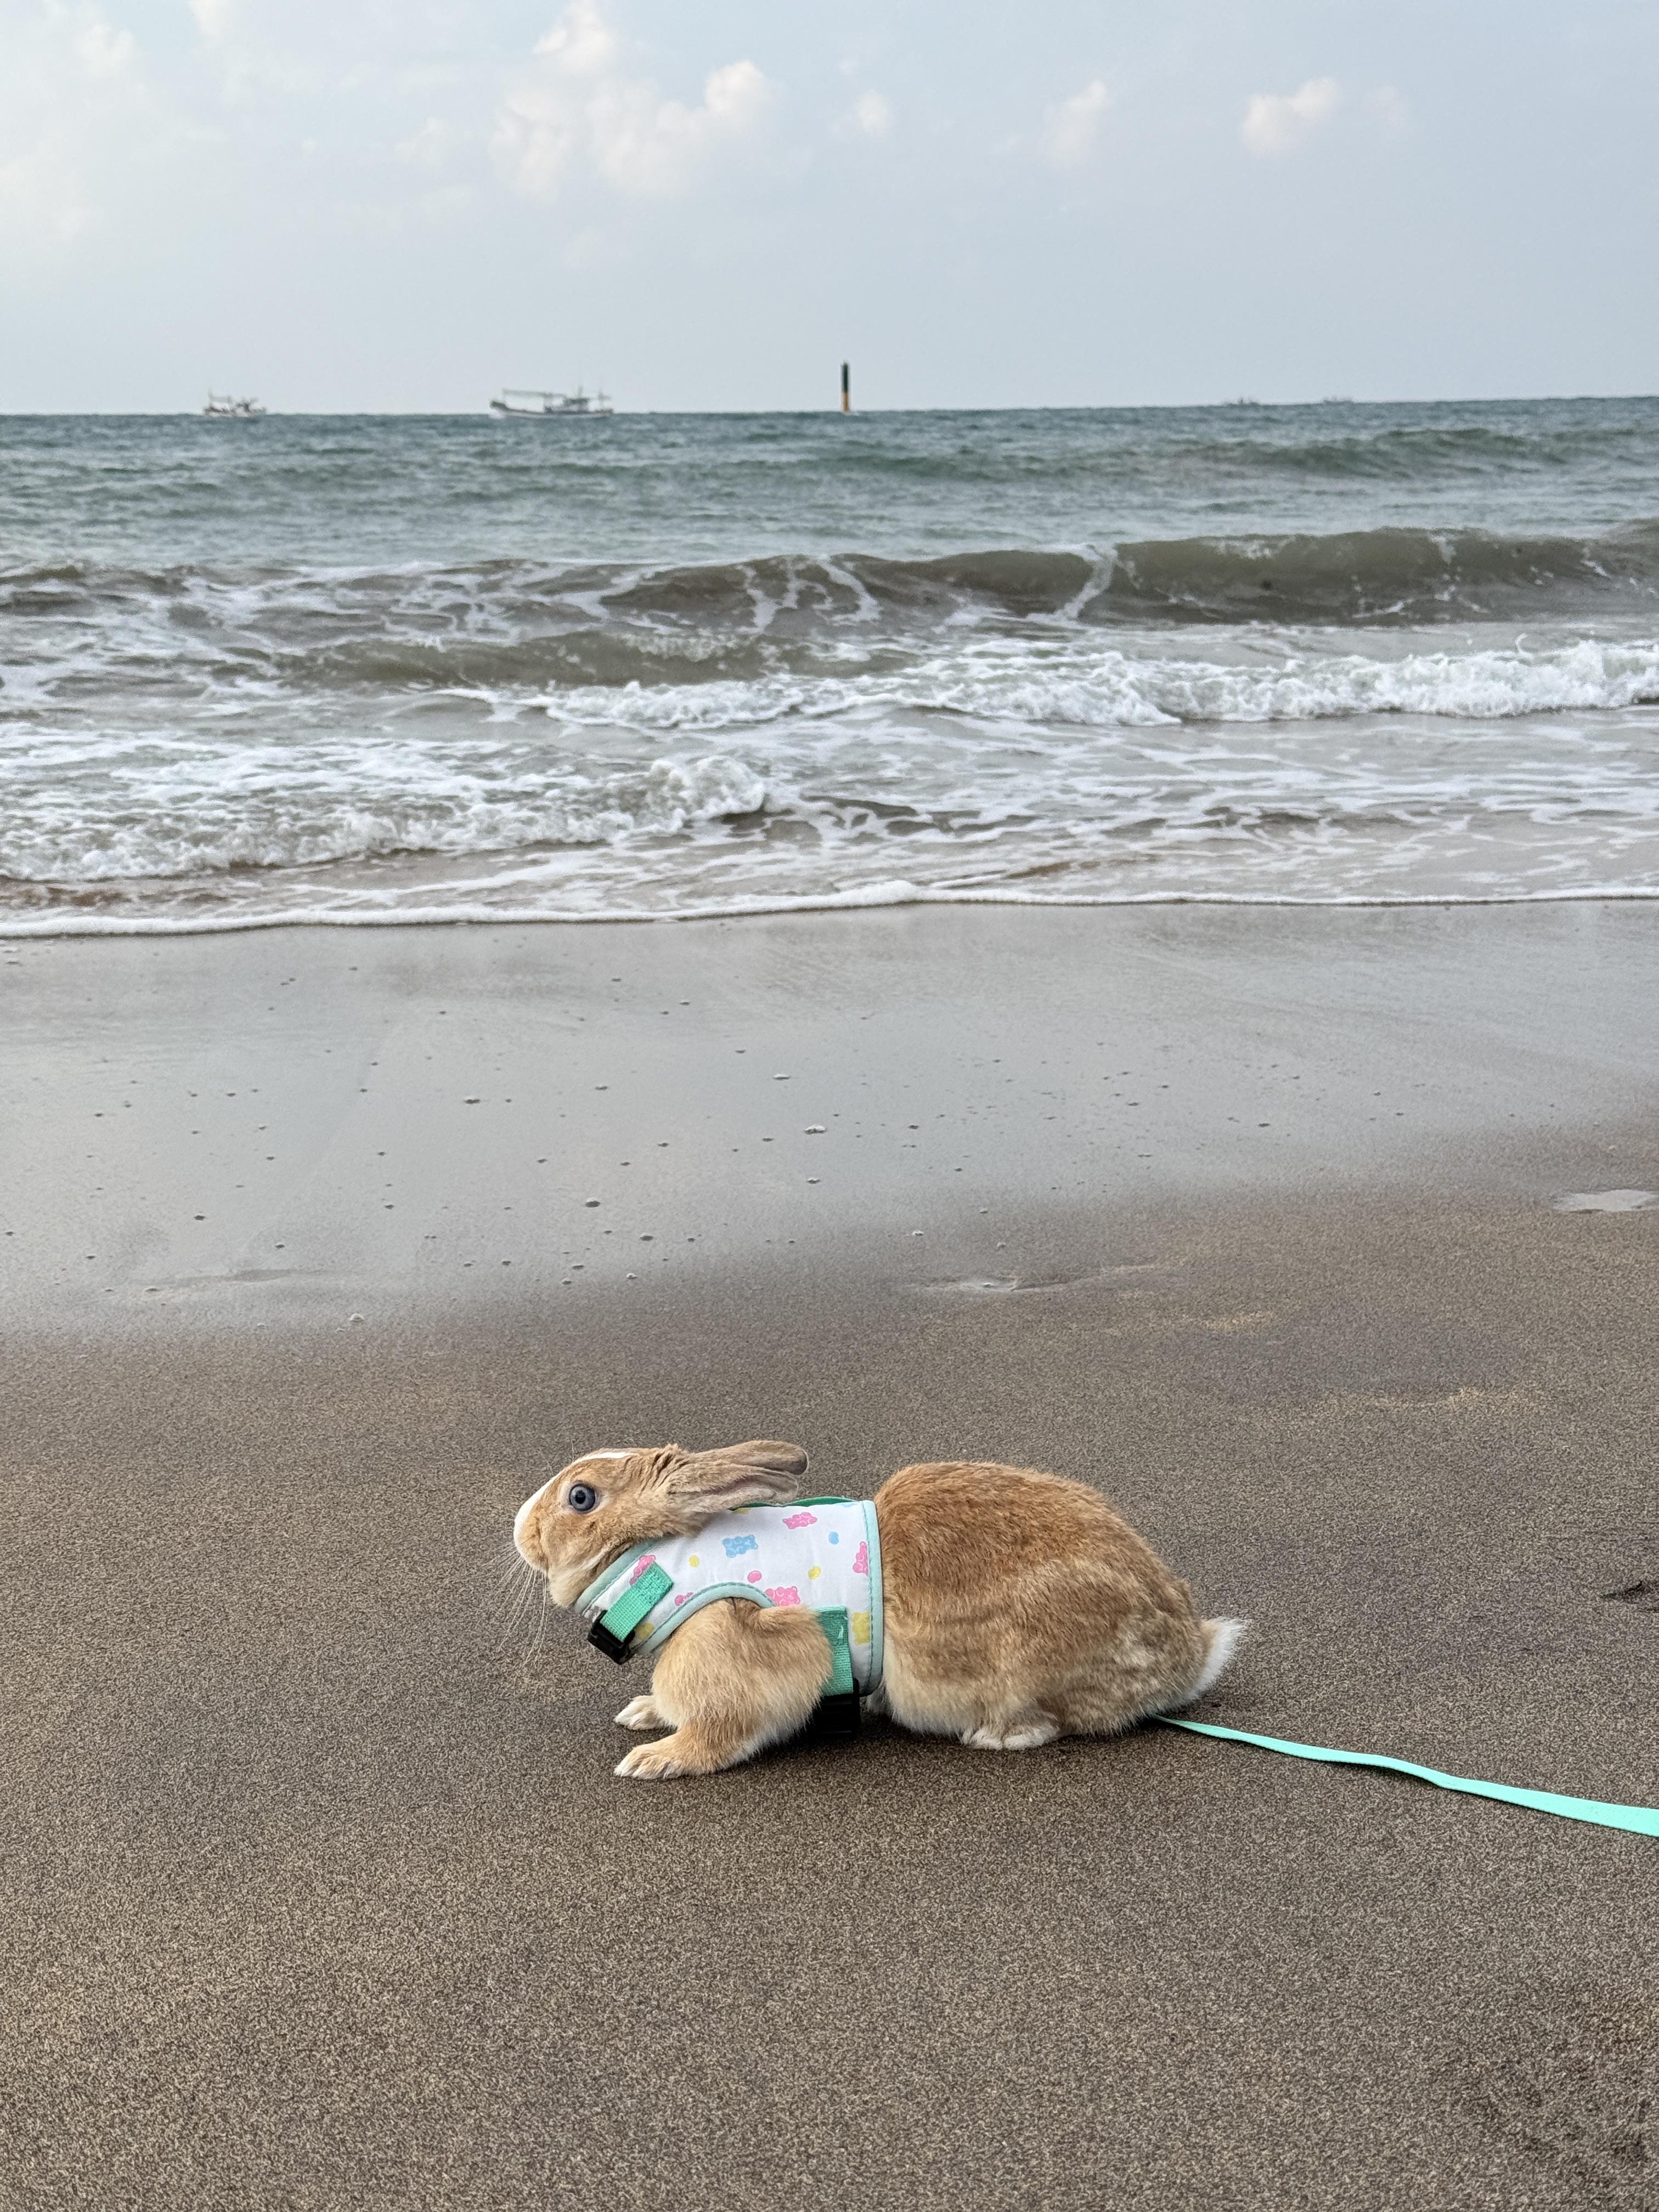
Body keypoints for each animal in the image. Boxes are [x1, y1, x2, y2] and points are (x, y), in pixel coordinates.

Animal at [512, 1440, 1243, 1781]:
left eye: (581, 1497)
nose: (520, 1527)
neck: (660, 1562)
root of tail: (1192, 1653)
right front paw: (642, 1714)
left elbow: (722, 1731)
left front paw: (656, 1759)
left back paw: (996, 1735)